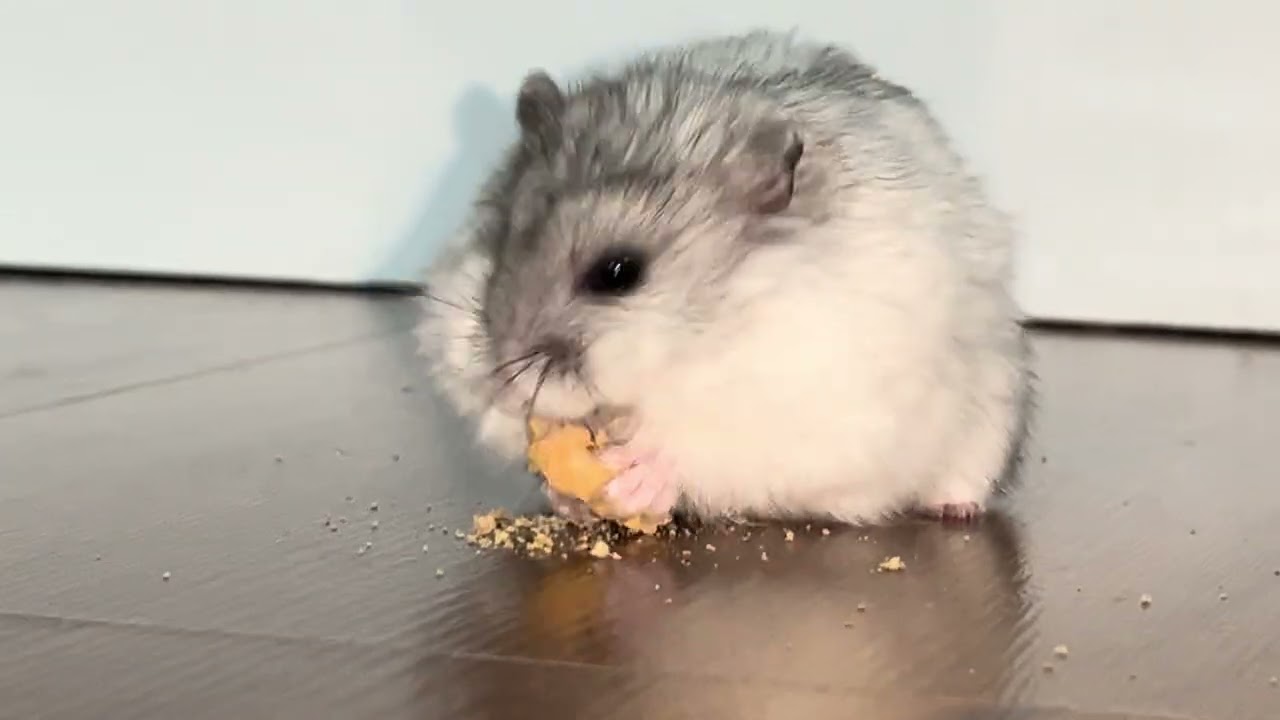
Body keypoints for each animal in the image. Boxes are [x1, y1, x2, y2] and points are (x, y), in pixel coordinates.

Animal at [416, 29, 1030, 524]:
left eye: (617, 272)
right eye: (500, 241)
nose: (503, 382)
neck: (706, 337)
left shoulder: (803, 397)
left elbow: (693, 448)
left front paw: (635, 474)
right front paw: (564, 495)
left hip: (991, 416)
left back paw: (955, 508)